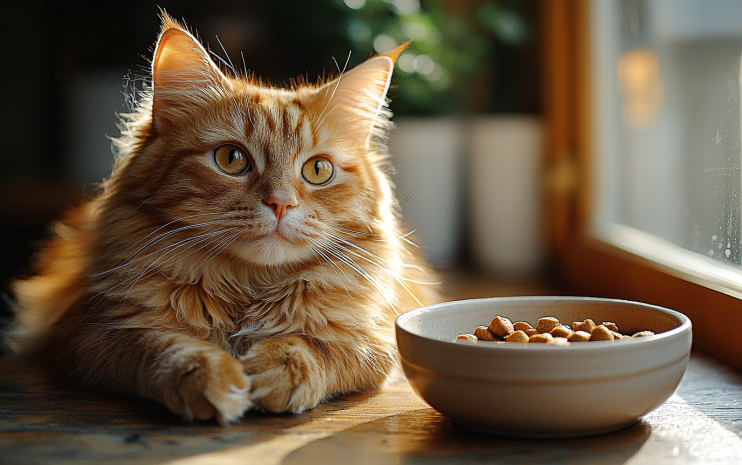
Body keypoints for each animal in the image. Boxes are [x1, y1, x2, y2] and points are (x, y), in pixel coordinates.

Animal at [7, 14, 442, 422]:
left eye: (318, 170)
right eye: (231, 159)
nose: (280, 203)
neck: (246, 290)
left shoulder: (376, 343)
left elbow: (314, 345)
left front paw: (277, 371)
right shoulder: (90, 334)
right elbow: (163, 344)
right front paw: (206, 375)